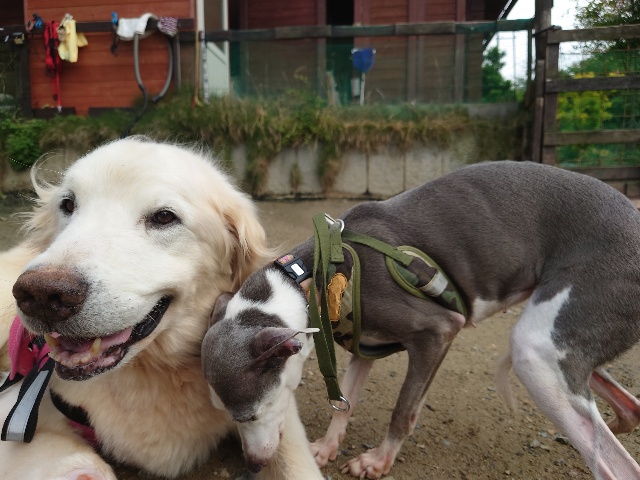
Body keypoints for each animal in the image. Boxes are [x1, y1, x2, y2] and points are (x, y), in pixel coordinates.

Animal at [202, 160, 640, 480]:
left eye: (250, 415)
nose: (253, 465)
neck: (314, 278)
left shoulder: (437, 332)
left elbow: (403, 411)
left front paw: (378, 460)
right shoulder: (363, 349)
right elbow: (344, 404)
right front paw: (326, 448)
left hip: (536, 350)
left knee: (617, 464)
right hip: (563, 342)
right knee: (625, 406)